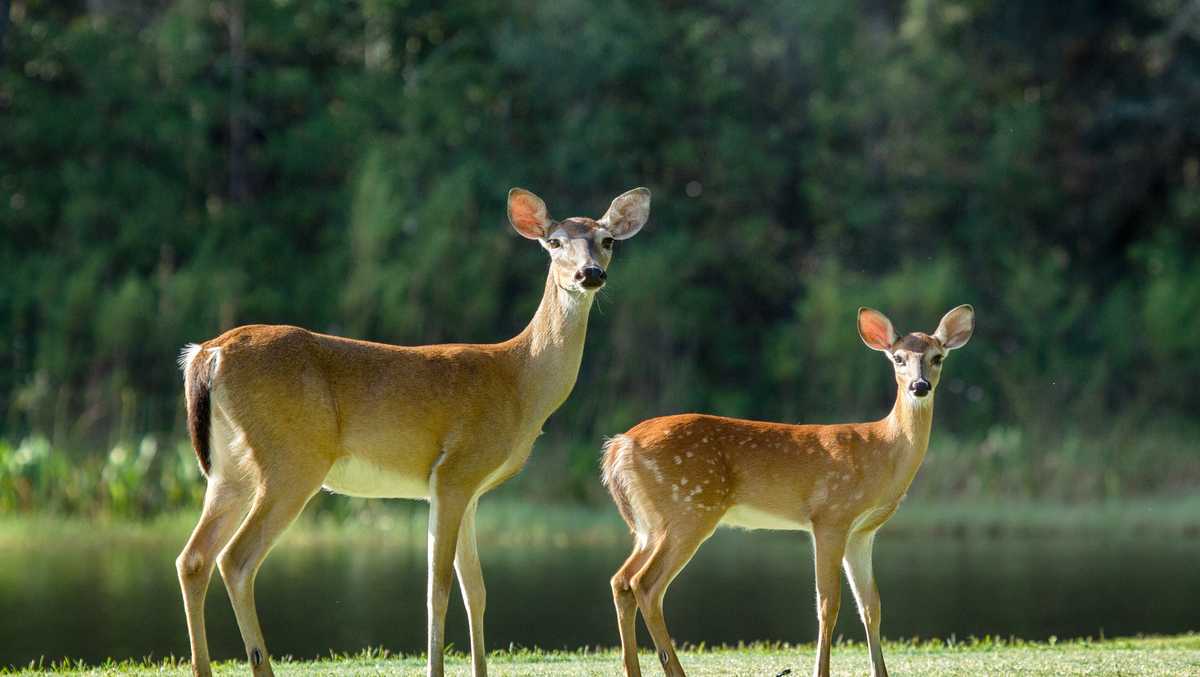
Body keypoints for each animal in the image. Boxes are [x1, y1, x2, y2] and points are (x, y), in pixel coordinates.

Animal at [174, 186, 652, 677]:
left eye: (607, 240)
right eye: (554, 242)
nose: (589, 273)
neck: (520, 380)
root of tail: (207, 353)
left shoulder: (470, 490)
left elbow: (476, 590)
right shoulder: (454, 471)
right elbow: (437, 589)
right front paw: (435, 667)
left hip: (228, 470)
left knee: (193, 557)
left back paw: (201, 666)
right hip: (291, 460)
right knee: (236, 559)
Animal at [600, 304, 974, 677]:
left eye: (938, 357)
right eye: (898, 358)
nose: (919, 385)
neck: (882, 451)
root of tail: (619, 445)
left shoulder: (863, 531)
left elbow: (871, 605)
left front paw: (879, 672)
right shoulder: (830, 516)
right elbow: (828, 603)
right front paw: (821, 671)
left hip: (651, 524)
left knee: (621, 580)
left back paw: (632, 668)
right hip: (689, 510)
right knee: (646, 585)